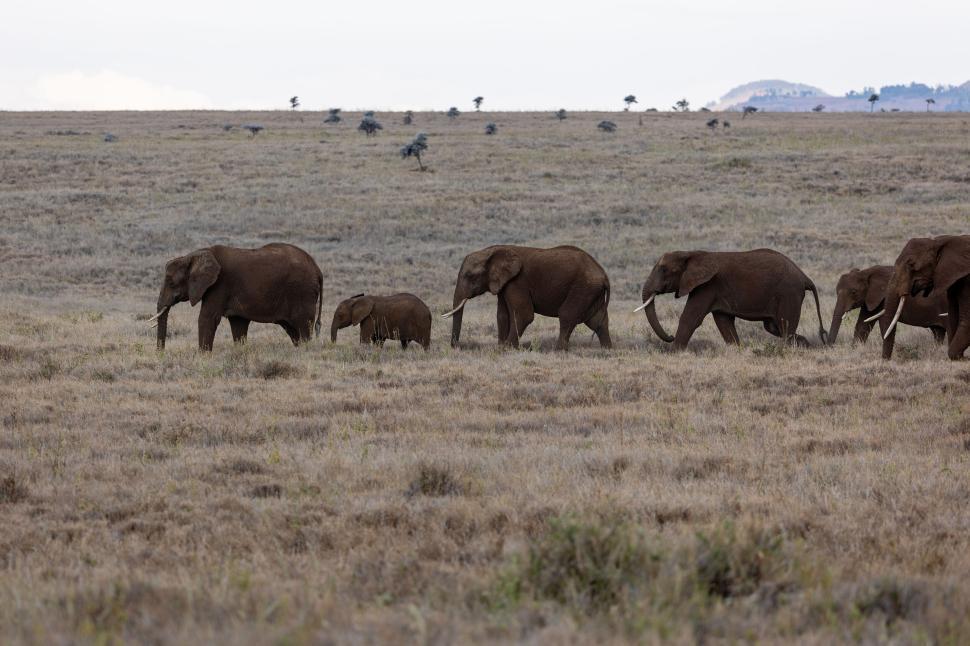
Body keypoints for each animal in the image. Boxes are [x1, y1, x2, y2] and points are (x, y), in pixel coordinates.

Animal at [149, 243, 323, 351]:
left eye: (171, 282)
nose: (160, 354)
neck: (197, 255)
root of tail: (317, 268)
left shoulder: (219, 285)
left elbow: (207, 318)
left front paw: (202, 357)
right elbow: (238, 324)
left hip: (302, 292)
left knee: (303, 326)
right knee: (293, 330)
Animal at [443, 245, 612, 351]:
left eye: (470, 276)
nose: (456, 346)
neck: (491, 251)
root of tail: (604, 274)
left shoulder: (518, 281)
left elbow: (524, 315)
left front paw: (507, 349)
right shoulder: (504, 284)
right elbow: (502, 315)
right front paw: (501, 348)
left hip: (583, 287)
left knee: (567, 315)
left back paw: (558, 351)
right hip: (591, 291)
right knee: (597, 321)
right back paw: (607, 350)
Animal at [637, 248, 827, 349]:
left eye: (664, 270)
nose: (669, 336)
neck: (692, 253)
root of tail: (804, 276)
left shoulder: (707, 286)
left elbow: (690, 318)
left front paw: (675, 351)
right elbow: (724, 322)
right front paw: (737, 349)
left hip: (788, 293)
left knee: (784, 327)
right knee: (775, 327)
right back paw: (805, 344)